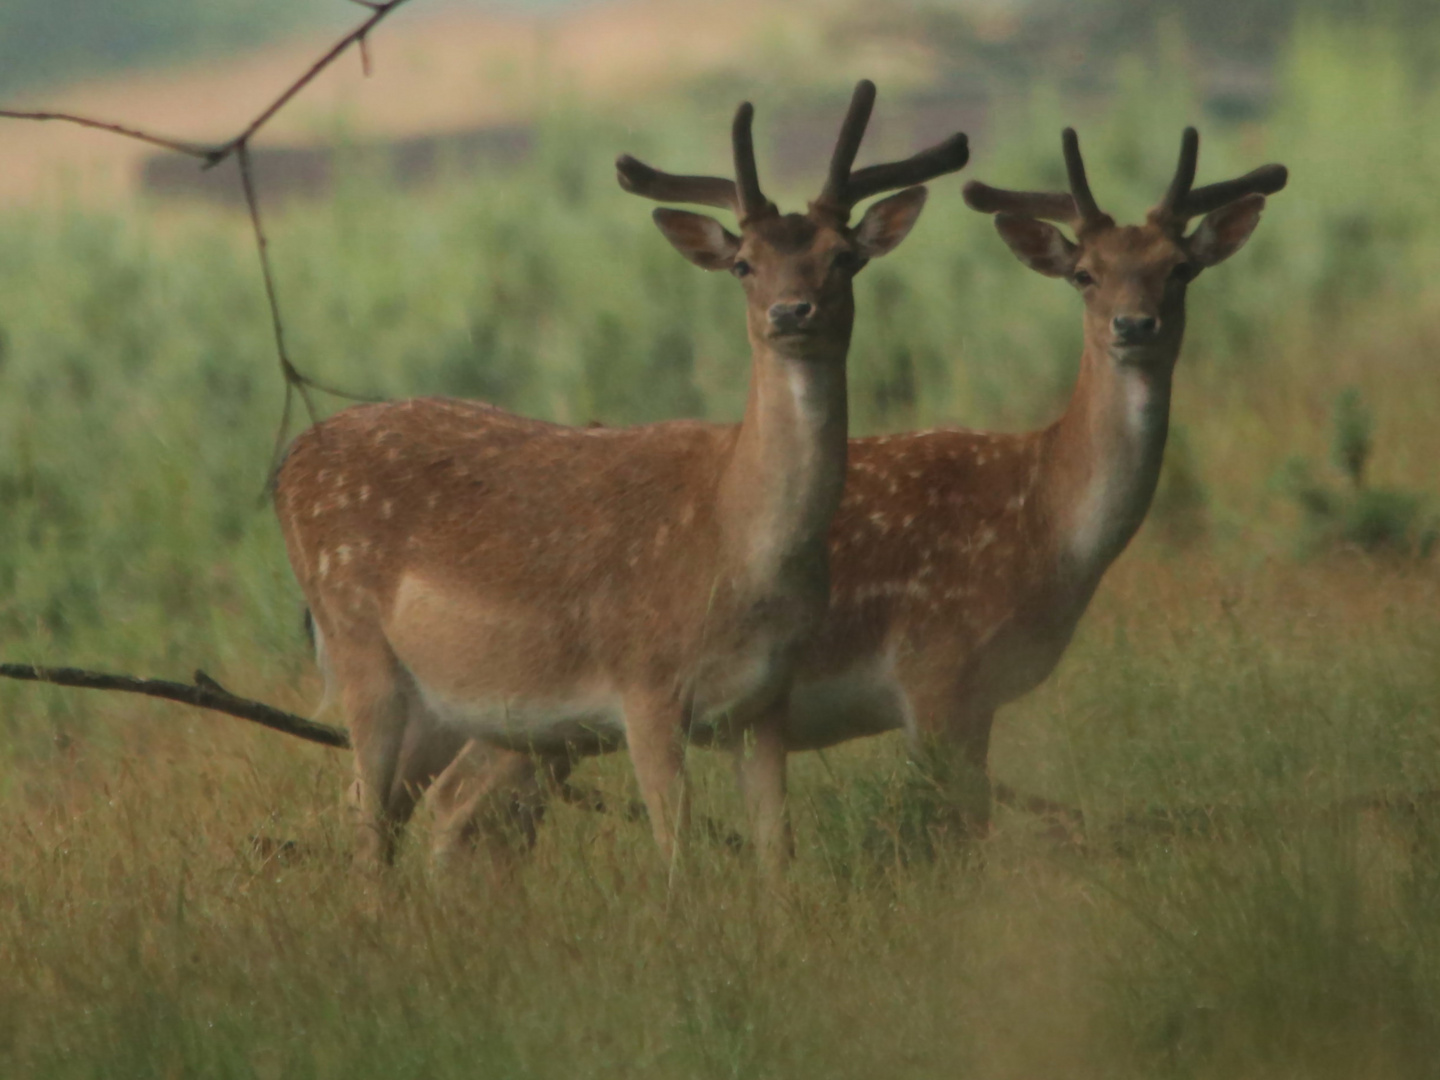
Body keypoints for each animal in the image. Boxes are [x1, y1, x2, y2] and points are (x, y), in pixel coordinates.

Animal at [272, 82, 967, 881]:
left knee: (392, 809)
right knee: (366, 820)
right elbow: (678, 858)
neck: (738, 543)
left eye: (845, 257)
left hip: (450, 702)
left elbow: (777, 857)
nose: (792, 312)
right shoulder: (646, 686)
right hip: (357, 640)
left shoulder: (765, 701)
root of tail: (287, 464)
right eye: (744, 263)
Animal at [771, 128, 1290, 835]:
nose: (1134, 324)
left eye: (1180, 268)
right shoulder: (934, 667)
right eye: (1084, 273)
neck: (1046, 523)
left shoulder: (981, 694)